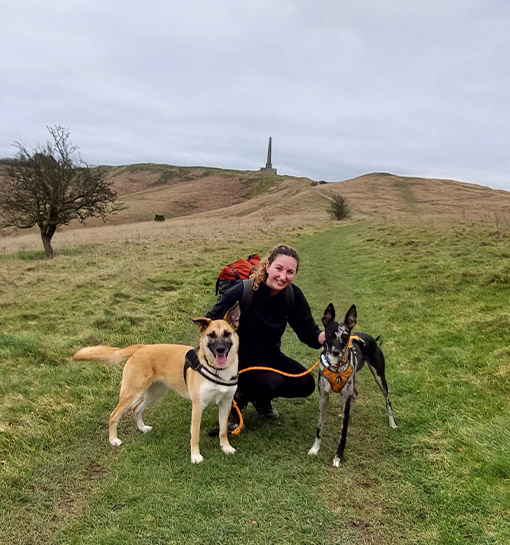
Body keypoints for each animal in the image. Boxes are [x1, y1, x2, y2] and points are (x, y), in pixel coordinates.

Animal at [72, 302, 241, 464]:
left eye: (227, 334)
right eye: (211, 335)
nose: (220, 349)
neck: (217, 369)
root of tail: (141, 347)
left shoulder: (225, 403)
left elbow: (223, 430)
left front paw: (226, 447)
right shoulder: (198, 406)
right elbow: (195, 435)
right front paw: (195, 456)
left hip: (154, 393)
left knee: (136, 409)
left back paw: (142, 428)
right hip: (132, 393)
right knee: (114, 415)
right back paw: (113, 439)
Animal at [306, 304, 398, 466]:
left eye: (345, 336)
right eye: (329, 334)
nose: (336, 352)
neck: (336, 367)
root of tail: (372, 339)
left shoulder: (346, 397)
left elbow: (343, 433)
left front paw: (338, 457)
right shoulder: (323, 397)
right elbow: (319, 427)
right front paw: (315, 449)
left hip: (380, 378)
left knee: (387, 400)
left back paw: (392, 422)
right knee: (355, 394)